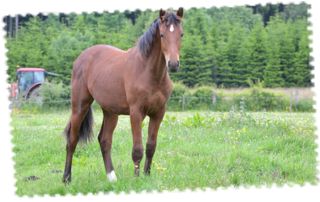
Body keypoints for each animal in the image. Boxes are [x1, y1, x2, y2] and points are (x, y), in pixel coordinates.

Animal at [62, 7, 184, 183]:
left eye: (181, 34)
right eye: (162, 35)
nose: (173, 64)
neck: (149, 72)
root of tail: (81, 58)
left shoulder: (158, 113)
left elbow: (151, 146)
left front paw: (147, 175)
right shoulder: (136, 113)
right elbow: (137, 149)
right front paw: (137, 178)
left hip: (110, 112)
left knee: (104, 140)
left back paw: (112, 177)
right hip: (79, 106)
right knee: (72, 141)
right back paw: (66, 178)